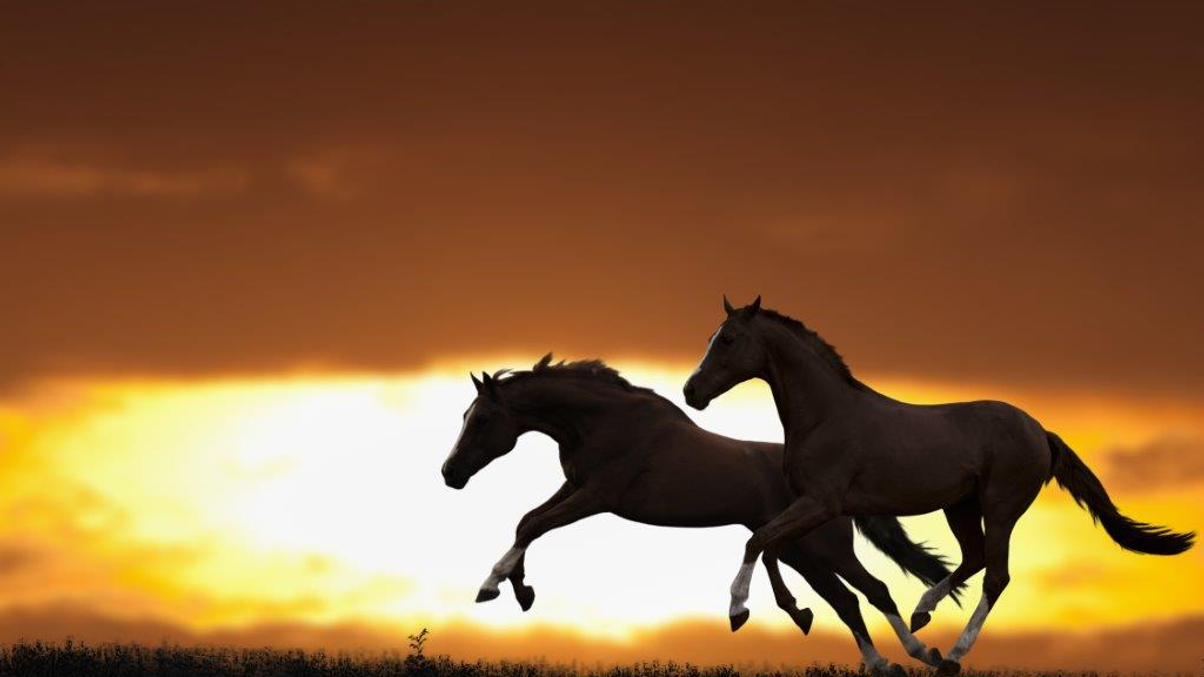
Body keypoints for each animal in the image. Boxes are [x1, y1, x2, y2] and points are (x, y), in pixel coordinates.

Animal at [442, 354, 961, 673]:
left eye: (481, 419)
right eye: (465, 416)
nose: (450, 473)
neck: (604, 423)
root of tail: (838, 482)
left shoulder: (597, 495)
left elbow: (535, 523)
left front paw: (494, 586)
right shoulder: (576, 487)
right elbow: (526, 520)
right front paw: (519, 589)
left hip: (823, 549)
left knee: (873, 590)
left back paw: (918, 652)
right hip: (801, 553)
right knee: (846, 600)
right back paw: (875, 658)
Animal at [682, 296, 1195, 675]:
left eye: (728, 339)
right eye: (710, 338)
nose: (691, 392)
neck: (827, 415)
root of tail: (1040, 431)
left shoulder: (822, 503)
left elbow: (758, 540)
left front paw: (738, 611)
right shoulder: (814, 508)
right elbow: (770, 545)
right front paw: (797, 611)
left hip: (1000, 506)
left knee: (996, 575)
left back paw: (950, 655)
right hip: (961, 506)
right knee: (973, 559)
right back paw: (924, 613)